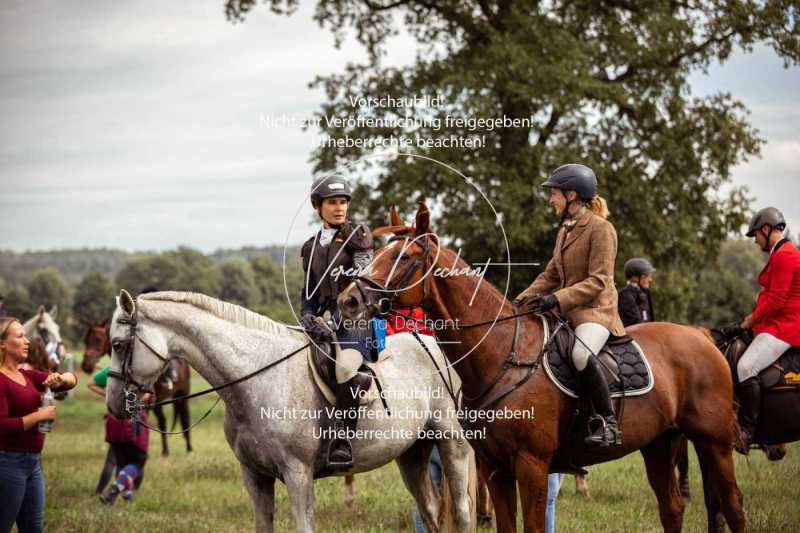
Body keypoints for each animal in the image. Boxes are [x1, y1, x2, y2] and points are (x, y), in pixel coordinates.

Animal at [81, 318, 194, 456]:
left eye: (97, 339)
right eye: (86, 340)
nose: (85, 366)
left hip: (181, 396)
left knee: (185, 419)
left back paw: (189, 449)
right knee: (163, 422)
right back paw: (165, 451)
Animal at [103, 290, 472, 532]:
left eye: (119, 345)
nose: (114, 404)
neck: (258, 376)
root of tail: (436, 344)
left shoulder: (298, 474)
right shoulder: (255, 475)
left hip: (450, 441)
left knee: (462, 511)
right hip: (411, 453)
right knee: (431, 509)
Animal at [338, 204, 744, 532]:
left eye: (403, 257)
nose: (348, 301)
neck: (502, 355)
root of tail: (702, 338)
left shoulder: (531, 466)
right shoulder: (495, 468)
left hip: (714, 442)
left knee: (733, 507)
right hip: (659, 443)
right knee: (672, 508)